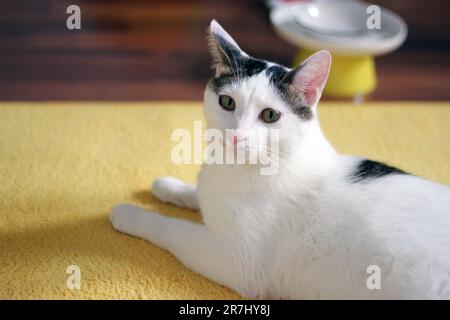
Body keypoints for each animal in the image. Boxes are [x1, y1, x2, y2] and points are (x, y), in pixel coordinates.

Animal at [110, 20, 450, 300]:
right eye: (227, 102)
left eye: (270, 115)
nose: (236, 136)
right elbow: (196, 192)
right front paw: (168, 186)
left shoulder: (237, 262)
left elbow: (168, 227)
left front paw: (129, 214)